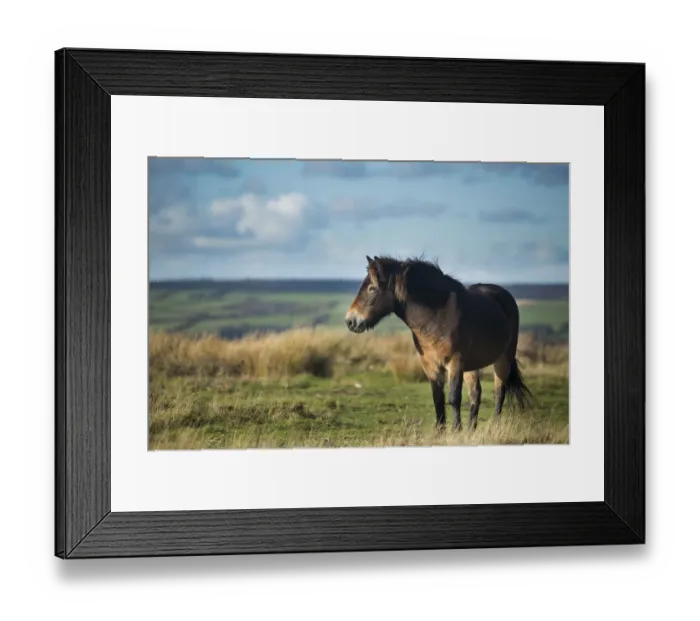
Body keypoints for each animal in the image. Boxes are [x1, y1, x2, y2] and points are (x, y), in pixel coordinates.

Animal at [345, 256, 533, 432]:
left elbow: (454, 398)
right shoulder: (430, 365)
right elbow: (438, 398)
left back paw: (494, 427)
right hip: (471, 366)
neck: (436, 318)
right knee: (475, 394)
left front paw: (456, 430)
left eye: (372, 288)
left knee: (498, 393)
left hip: (503, 359)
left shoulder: (455, 362)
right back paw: (471, 430)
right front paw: (440, 432)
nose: (350, 321)